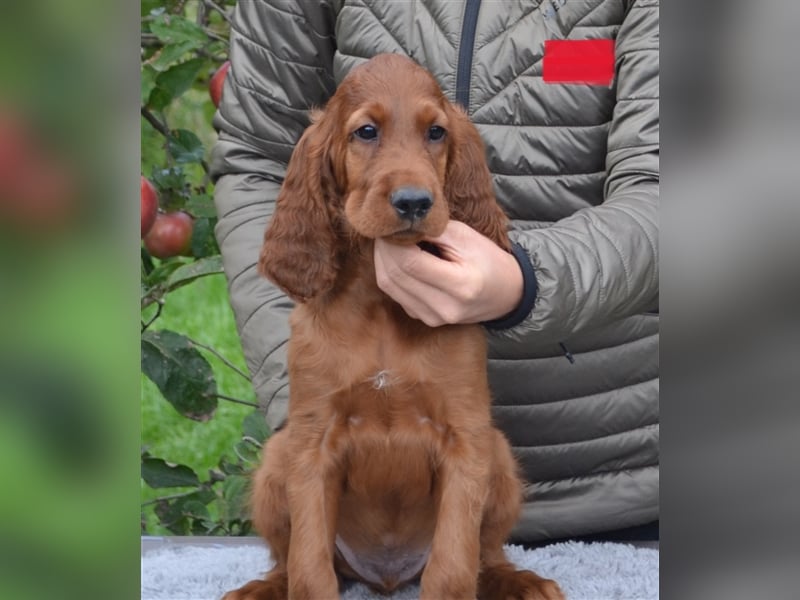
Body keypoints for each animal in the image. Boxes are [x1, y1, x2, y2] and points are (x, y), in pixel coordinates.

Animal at [225, 54, 564, 596]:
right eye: (366, 131)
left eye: (436, 132)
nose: (413, 202)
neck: (381, 305)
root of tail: (385, 574)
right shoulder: (311, 444)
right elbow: (309, 566)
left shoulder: (466, 439)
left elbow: (453, 565)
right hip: (275, 459)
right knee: (286, 559)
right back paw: (262, 587)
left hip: (500, 456)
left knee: (487, 554)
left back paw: (518, 581)